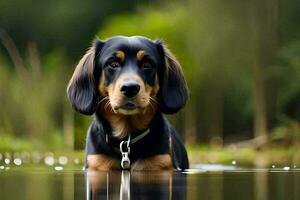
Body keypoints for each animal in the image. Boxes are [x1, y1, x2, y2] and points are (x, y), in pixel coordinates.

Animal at [68, 36, 190, 170]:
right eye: (113, 64)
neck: (126, 140)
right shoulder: (98, 162)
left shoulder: (160, 161)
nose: (130, 88)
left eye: (147, 65)